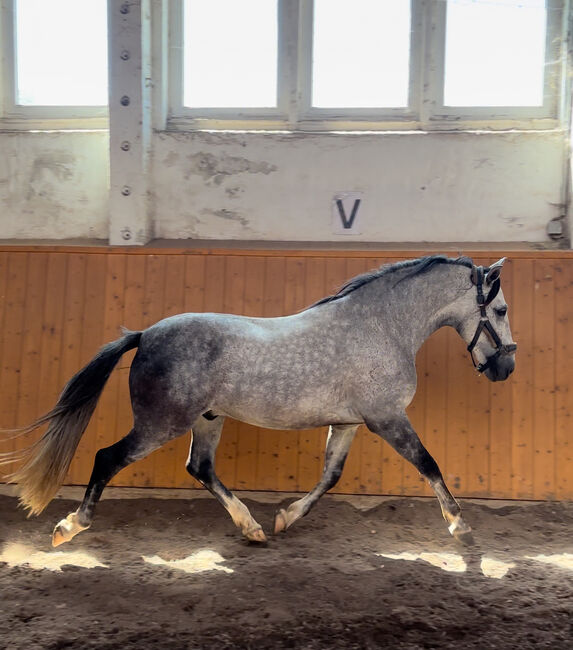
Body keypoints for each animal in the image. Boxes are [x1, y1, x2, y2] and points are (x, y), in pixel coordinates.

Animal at [0, 256, 516, 544]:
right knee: (107, 459)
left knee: (201, 468)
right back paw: (70, 527)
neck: (383, 326)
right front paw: (459, 526)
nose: (505, 368)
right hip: (161, 423)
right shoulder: (387, 418)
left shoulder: (349, 423)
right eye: (502, 309)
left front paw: (285, 519)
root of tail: (145, 334)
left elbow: (330, 476)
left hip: (208, 418)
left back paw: (251, 528)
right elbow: (429, 463)